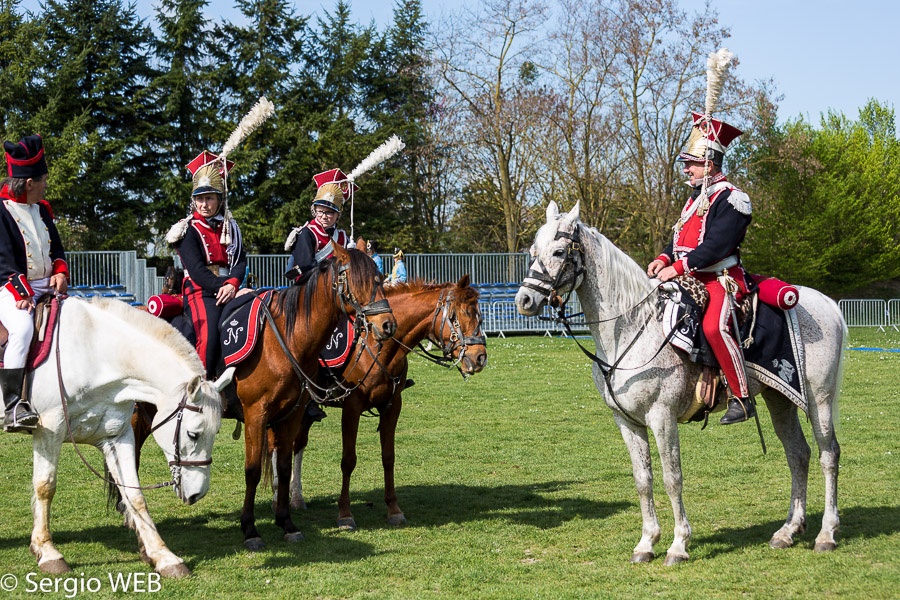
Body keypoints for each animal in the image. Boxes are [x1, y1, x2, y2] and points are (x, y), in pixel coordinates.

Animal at [1, 298, 232, 580]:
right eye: (193, 434)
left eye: (216, 433)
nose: (198, 493)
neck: (93, 352)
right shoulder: (50, 428)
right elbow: (45, 486)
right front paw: (48, 553)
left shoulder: (117, 436)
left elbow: (134, 495)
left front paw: (163, 557)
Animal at [278, 276, 488, 528]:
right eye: (459, 315)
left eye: (479, 316)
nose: (480, 358)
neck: (377, 345)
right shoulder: (351, 408)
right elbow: (348, 460)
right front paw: (345, 514)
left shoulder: (392, 406)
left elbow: (389, 457)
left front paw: (394, 510)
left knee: (296, 443)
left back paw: (295, 497)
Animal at [512, 204, 844, 564]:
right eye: (534, 251)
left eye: (559, 252)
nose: (524, 300)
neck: (631, 329)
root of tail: (828, 304)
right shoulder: (627, 422)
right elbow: (643, 479)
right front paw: (646, 543)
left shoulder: (662, 417)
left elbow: (672, 478)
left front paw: (678, 545)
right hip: (780, 397)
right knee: (798, 454)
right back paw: (788, 531)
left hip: (819, 400)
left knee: (828, 454)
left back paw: (826, 533)